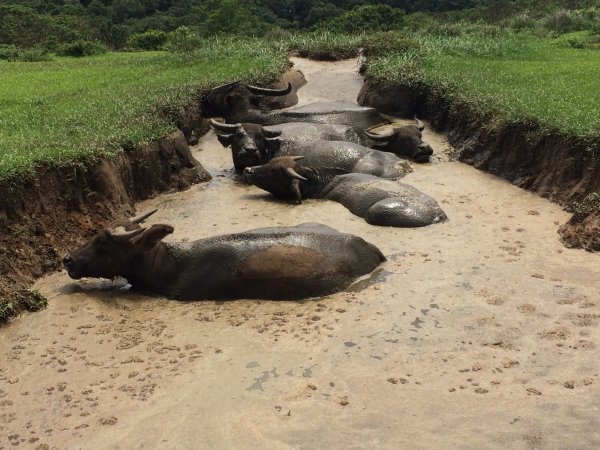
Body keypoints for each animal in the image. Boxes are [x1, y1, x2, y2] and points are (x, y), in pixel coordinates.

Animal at [243, 158, 446, 229]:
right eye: (269, 162)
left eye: (273, 171)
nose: (248, 169)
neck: (321, 183)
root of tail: (438, 214)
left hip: (377, 211)